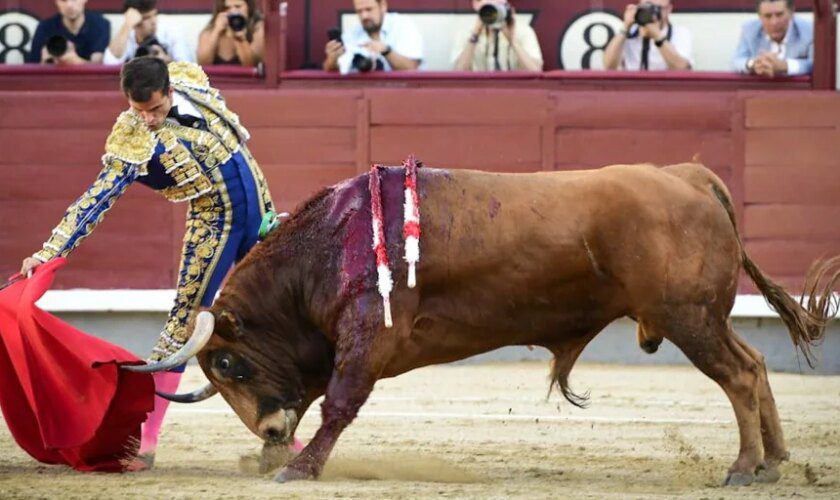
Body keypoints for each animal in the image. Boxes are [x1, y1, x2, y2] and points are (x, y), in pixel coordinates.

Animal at [121, 162, 836, 486]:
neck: (329, 245)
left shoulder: (367, 338)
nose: (270, 432)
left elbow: (340, 404)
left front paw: (297, 468)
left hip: (688, 319)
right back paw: (775, 461)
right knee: (756, 365)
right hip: (704, 317)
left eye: (230, 363)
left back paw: (745, 467)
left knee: (738, 375)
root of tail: (688, 173)